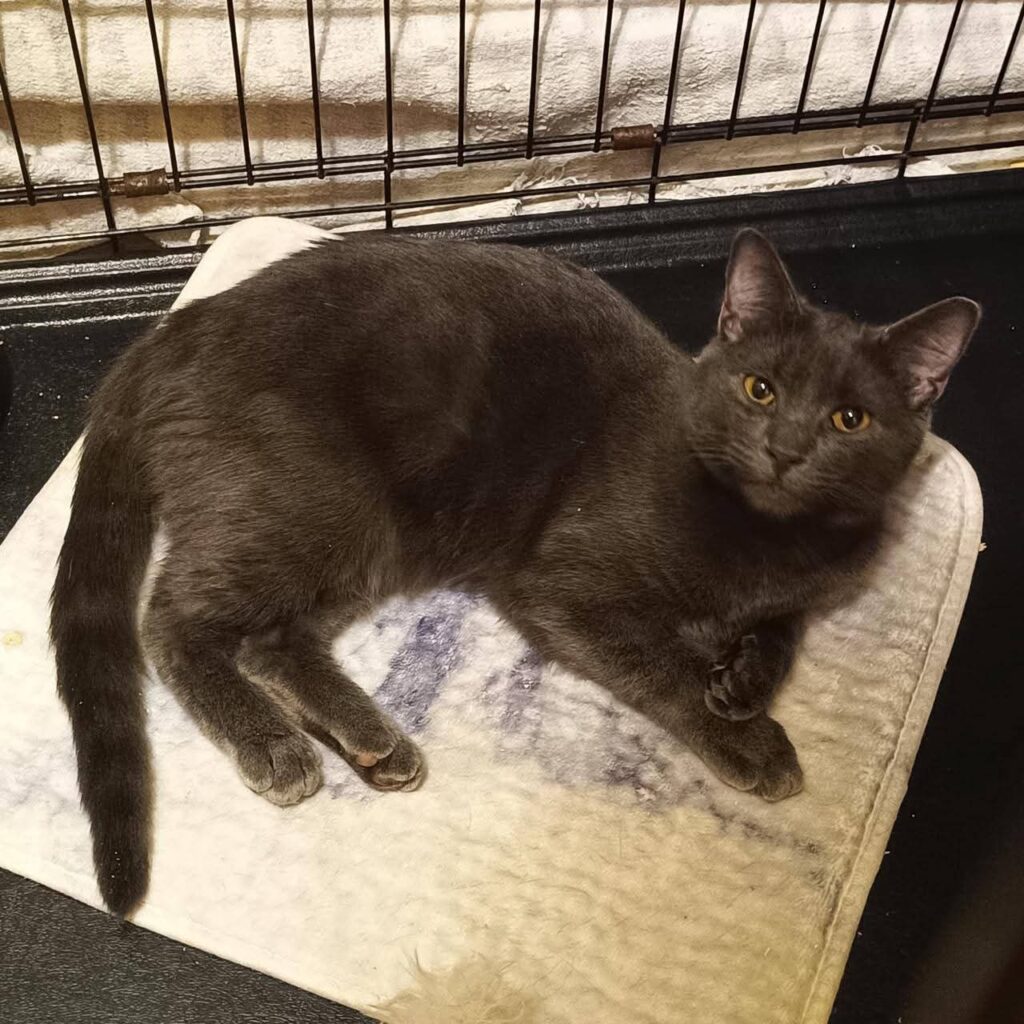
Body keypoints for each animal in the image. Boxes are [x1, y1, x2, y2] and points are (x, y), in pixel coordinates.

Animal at [50, 228, 979, 915]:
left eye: (850, 419)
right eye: (760, 389)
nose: (785, 449)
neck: (762, 537)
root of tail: (168, 333)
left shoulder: (802, 588)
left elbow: (782, 629)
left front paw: (747, 681)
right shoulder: (562, 589)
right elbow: (661, 666)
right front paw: (748, 738)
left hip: (370, 538)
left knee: (270, 636)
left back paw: (371, 739)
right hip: (321, 500)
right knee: (174, 620)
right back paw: (274, 745)